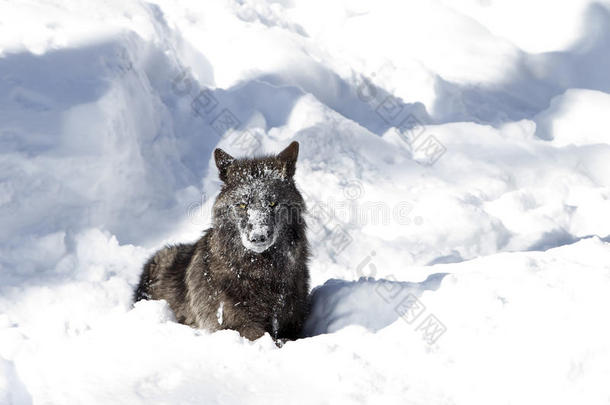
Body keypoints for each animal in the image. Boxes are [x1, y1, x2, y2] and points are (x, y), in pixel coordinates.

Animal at [133, 140, 308, 340]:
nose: (258, 237)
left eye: (272, 203)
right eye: (242, 205)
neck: (260, 271)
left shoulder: (292, 324)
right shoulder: (233, 325)